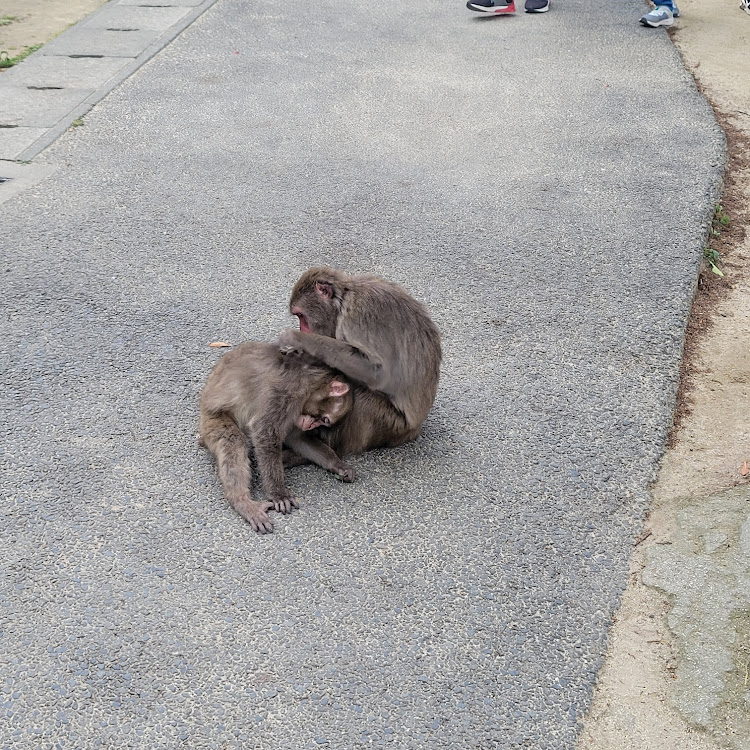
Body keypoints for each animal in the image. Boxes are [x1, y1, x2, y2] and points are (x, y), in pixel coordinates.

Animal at [198, 340, 354, 536]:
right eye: (324, 419)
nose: (311, 426)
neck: (311, 382)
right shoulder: (289, 390)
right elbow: (264, 430)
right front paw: (278, 494)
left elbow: (296, 438)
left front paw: (337, 464)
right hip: (212, 420)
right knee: (232, 439)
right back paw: (241, 500)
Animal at [276, 270, 440, 458]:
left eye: (301, 316)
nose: (302, 329)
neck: (343, 301)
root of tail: (414, 430)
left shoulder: (358, 318)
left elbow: (376, 372)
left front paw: (297, 339)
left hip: (394, 426)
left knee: (363, 400)